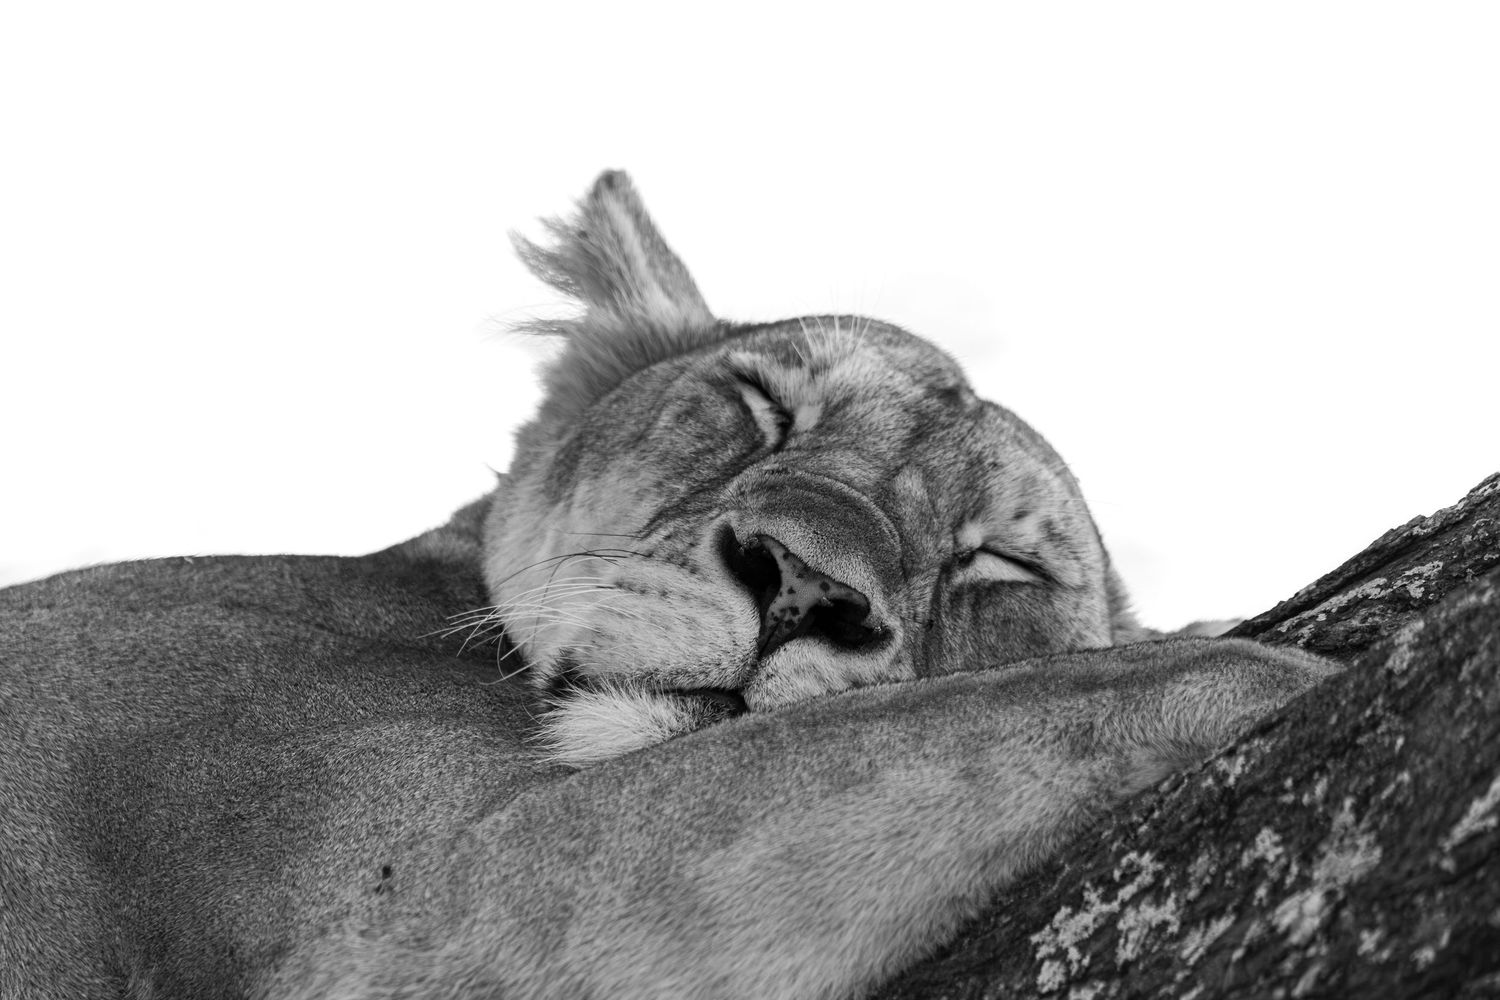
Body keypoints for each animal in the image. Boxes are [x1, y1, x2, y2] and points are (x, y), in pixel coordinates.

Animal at [0, 171, 1335, 999]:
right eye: (760, 405)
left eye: (995, 561)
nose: (802, 586)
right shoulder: (420, 903)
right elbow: (1008, 709)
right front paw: (1287, 665)